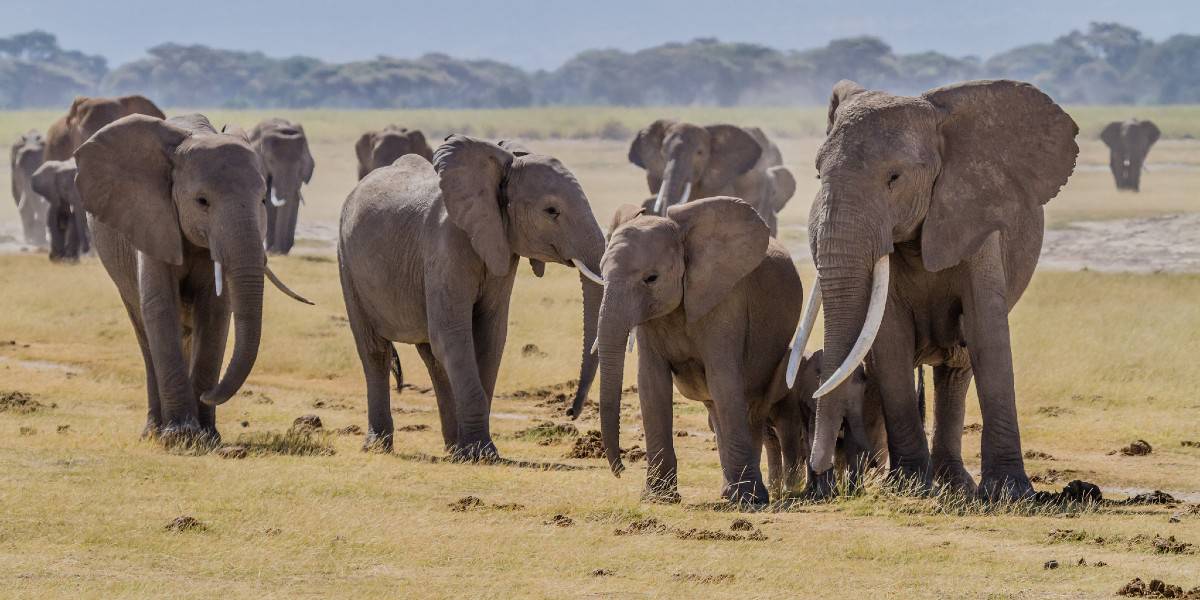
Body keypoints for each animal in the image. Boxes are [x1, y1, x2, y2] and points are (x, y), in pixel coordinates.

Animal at [249, 118, 315, 255]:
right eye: (270, 160)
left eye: (301, 162)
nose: (280, 251)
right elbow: (269, 202)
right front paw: (273, 251)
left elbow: (293, 199)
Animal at [339, 135, 606, 459]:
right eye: (551, 211)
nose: (570, 412)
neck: (502, 166)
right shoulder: (445, 244)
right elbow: (453, 333)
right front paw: (482, 454)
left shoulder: (502, 245)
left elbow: (490, 336)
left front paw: (474, 451)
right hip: (347, 263)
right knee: (375, 350)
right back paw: (379, 446)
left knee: (433, 357)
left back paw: (453, 447)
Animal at [591, 197, 801, 505]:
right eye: (601, 273)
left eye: (651, 278)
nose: (621, 470)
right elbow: (651, 384)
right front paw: (658, 498)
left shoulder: (725, 302)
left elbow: (723, 380)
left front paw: (748, 501)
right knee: (717, 410)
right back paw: (729, 493)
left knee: (752, 407)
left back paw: (748, 495)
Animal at [786, 79, 1078, 500]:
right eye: (817, 173)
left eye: (894, 177)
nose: (819, 467)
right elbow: (890, 337)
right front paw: (909, 487)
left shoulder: (978, 224)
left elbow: (986, 333)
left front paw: (1009, 493)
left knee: (957, 367)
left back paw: (956, 485)